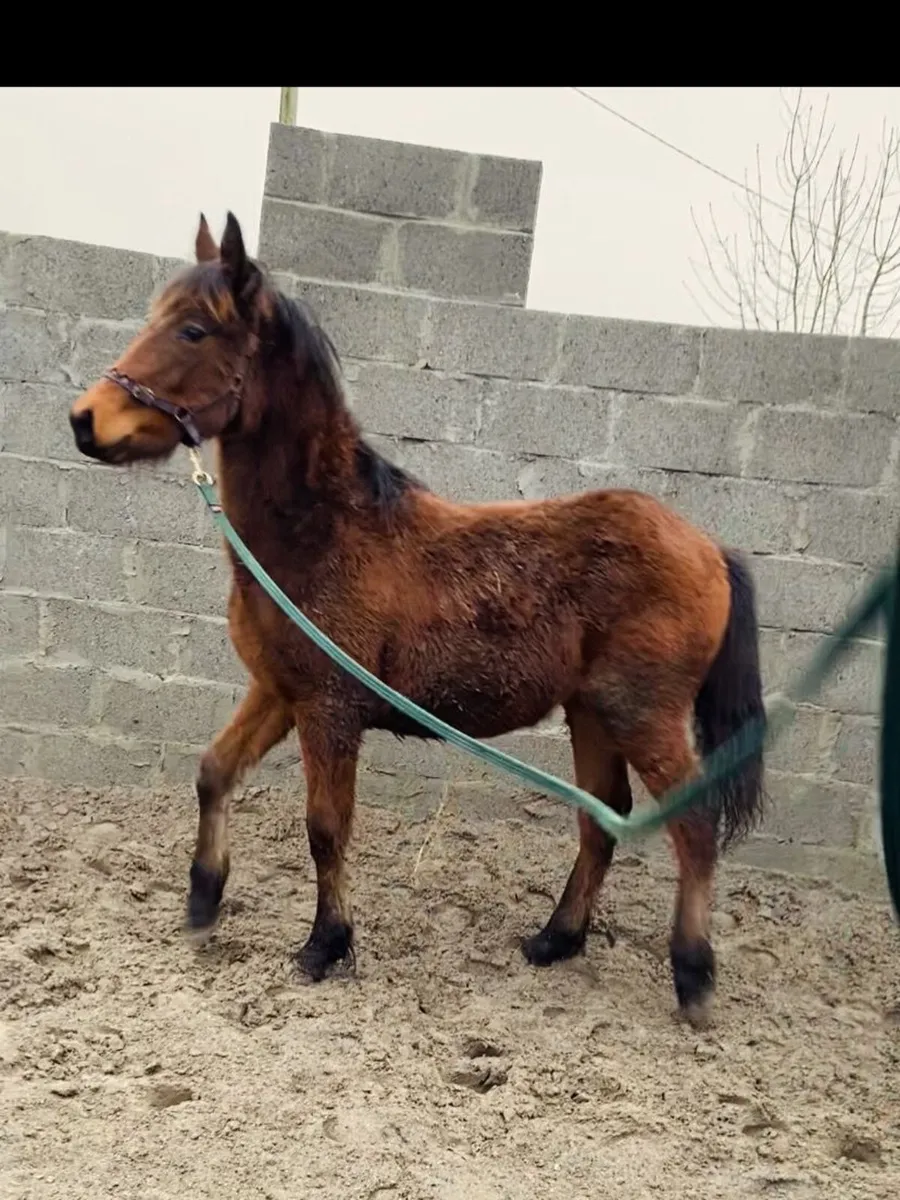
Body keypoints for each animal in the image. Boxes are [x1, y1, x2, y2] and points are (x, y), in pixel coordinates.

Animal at [68, 211, 766, 1020]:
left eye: (192, 330)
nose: (85, 420)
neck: (326, 530)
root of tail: (709, 547)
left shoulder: (328, 710)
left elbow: (326, 828)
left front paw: (324, 946)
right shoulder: (278, 692)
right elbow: (214, 773)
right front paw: (203, 902)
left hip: (642, 715)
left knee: (693, 827)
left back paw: (693, 976)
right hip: (593, 713)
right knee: (604, 819)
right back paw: (555, 941)